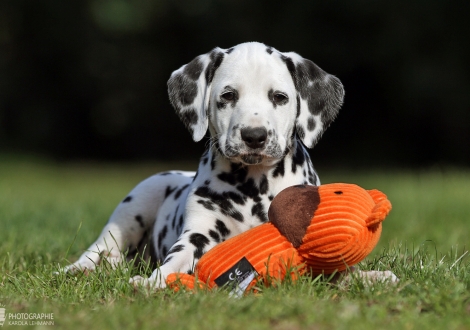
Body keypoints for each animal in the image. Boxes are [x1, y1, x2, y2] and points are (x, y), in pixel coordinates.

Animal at [63, 42, 396, 288]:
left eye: (280, 97)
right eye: (228, 95)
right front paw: (154, 281)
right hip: (132, 209)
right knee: (100, 250)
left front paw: (366, 277)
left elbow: (335, 270)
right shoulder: (198, 234)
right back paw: (77, 270)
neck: (254, 185)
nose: (254, 136)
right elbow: (177, 258)